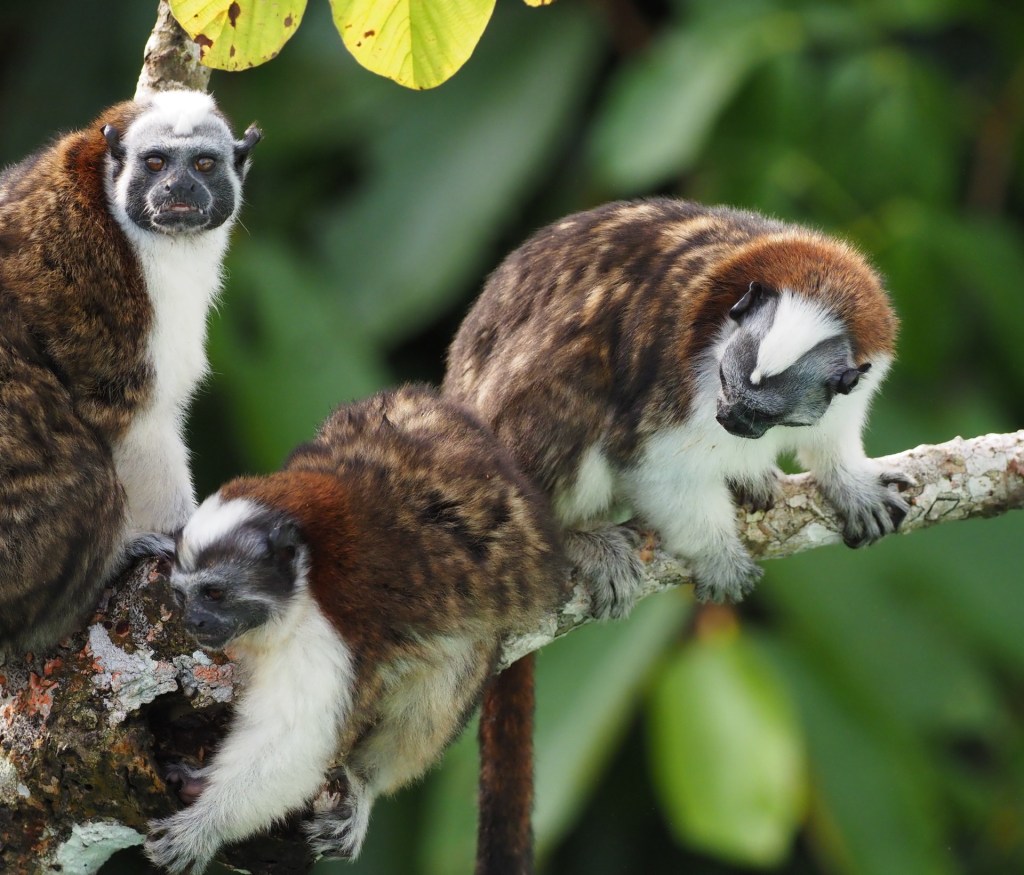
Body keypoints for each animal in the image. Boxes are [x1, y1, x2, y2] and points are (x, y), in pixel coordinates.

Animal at [0, 90, 260, 655]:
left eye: (203, 164)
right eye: (156, 163)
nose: (179, 188)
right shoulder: (111, 290)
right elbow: (133, 419)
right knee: (85, 476)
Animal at [143, 385, 568, 875]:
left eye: (213, 594)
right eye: (182, 597)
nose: (194, 620)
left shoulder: (322, 635)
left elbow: (297, 740)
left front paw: (205, 826)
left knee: (448, 675)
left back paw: (364, 783)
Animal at [443, 197, 910, 873]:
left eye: (764, 411)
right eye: (729, 380)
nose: (729, 417)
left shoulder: (857, 378)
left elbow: (831, 438)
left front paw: (851, 486)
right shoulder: (679, 374)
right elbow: (652, 464)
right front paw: (716, 553)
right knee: (578, 364)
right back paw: (573, 538)